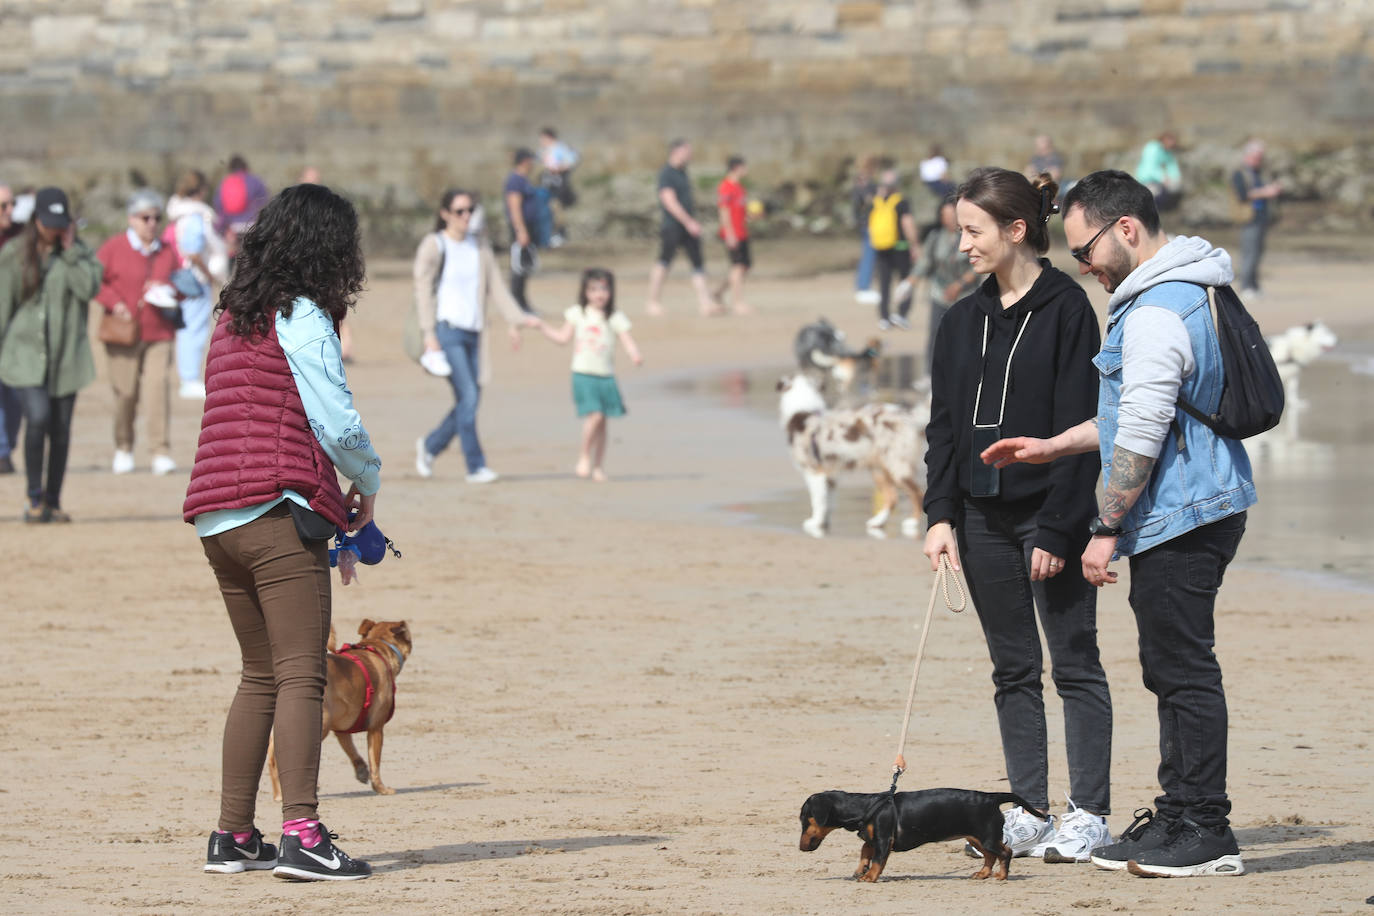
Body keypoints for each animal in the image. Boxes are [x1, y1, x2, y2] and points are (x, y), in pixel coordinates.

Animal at [265, 620, 409, 796]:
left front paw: (361, 770)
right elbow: (375, 762)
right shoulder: (376, 728)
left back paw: (279, 792)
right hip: (322, 724)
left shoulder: (342, 729)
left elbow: (351, 750)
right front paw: (380, 788)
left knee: (272, 757)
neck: (376, 647)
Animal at [780, 373, 928, 541]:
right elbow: (828, 502)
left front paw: (815, 522)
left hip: (897, 466)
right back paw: (877, 522)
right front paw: (824, 523)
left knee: (916, 493)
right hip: (878, 469)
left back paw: (912, 522)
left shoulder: (814, 472)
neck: (803, 411)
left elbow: (818, 501)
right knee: (892, 497)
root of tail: (906, 415)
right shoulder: (831, 476)